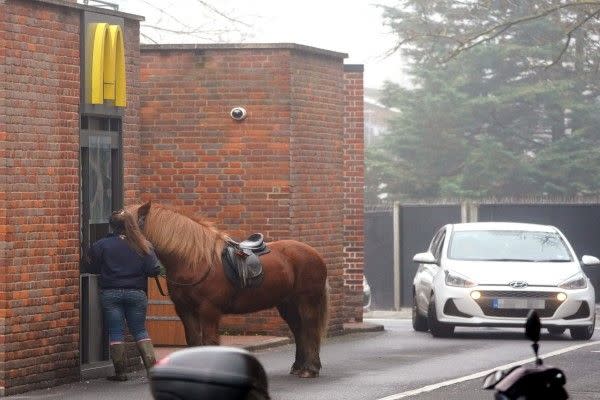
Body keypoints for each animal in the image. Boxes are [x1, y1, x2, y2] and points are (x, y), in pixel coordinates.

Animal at [129, 203, 330, 378]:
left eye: (129, 228)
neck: (194, 261)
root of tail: (314, 254)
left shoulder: (208, 310)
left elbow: (209, 341)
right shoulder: (185, 310)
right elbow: (193, 341)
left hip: (307, 301)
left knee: (310, 329)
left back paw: (310, 369)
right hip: (287, 303)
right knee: (299, 329)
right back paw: (299, 366)